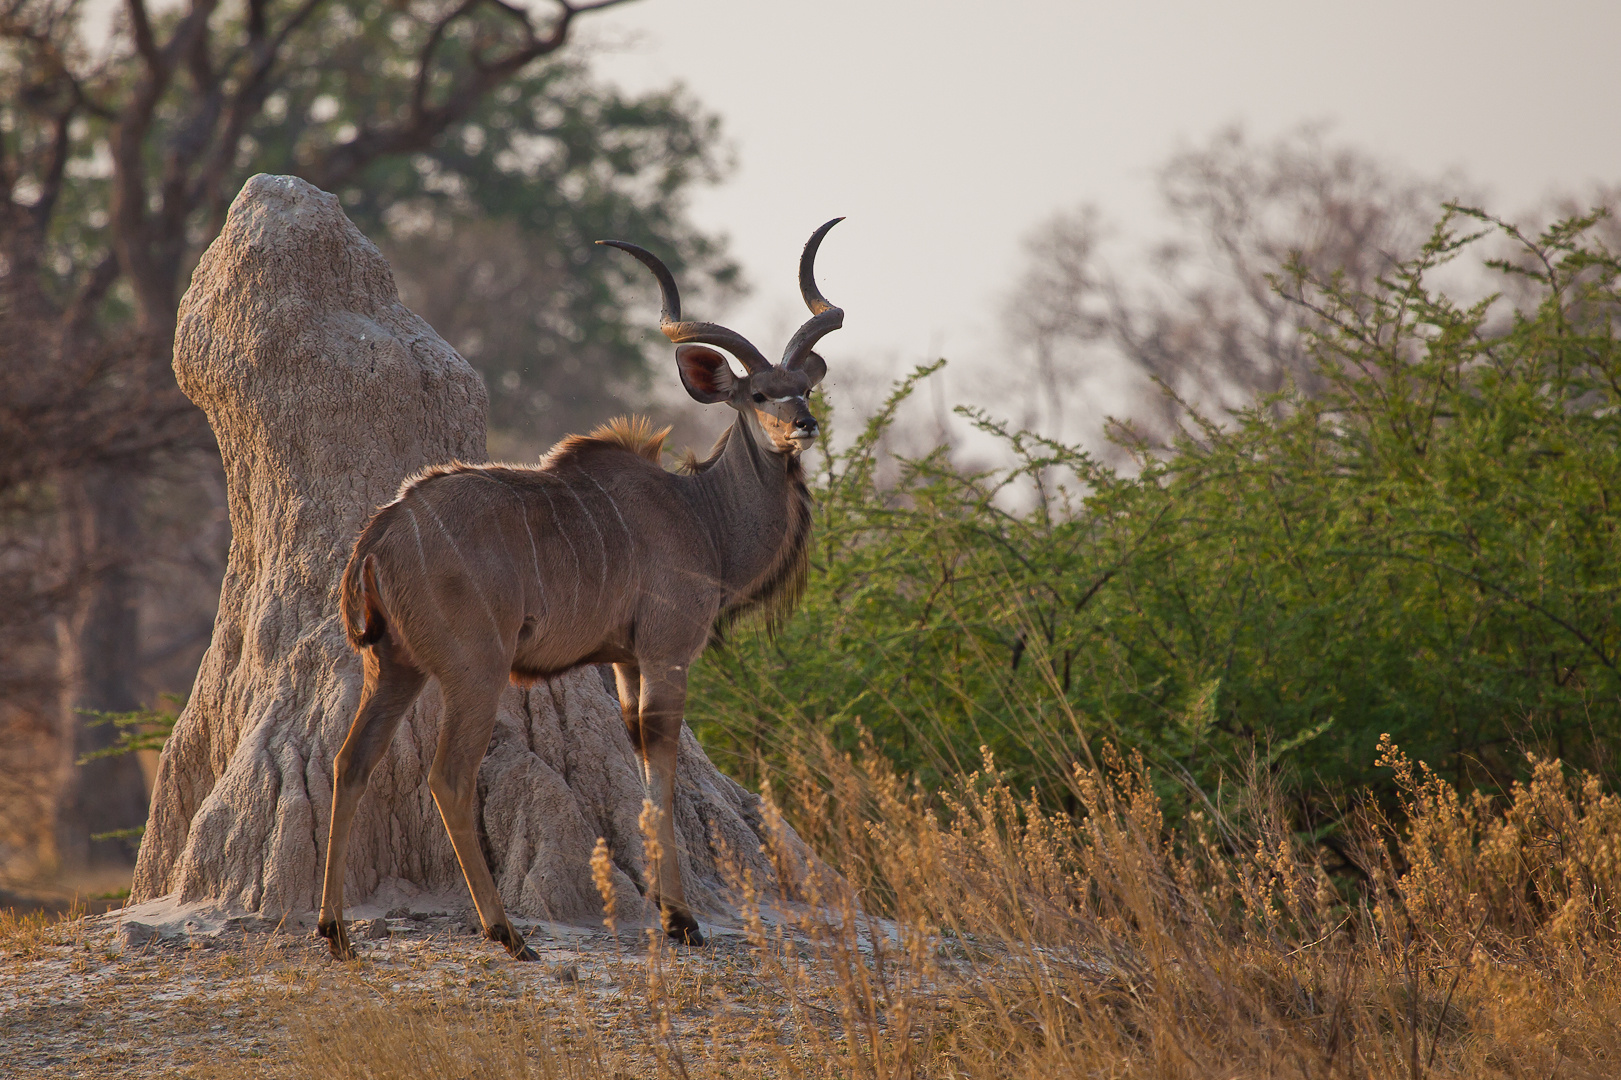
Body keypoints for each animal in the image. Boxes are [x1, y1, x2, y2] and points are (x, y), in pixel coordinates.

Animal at [319, 220, 849, 960]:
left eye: (803, 387)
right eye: (758, 394)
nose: (804, 425)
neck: (701, 514)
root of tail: (383, 530)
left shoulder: (626, 662)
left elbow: (641, 769)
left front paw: (667, 911)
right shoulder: (666, 654)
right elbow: (660, 772)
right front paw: (682, 920)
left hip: (392, 665)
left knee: (351, 761)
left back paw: (335, 931)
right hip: (474, 670)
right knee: (447, 776)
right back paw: (506, 932)